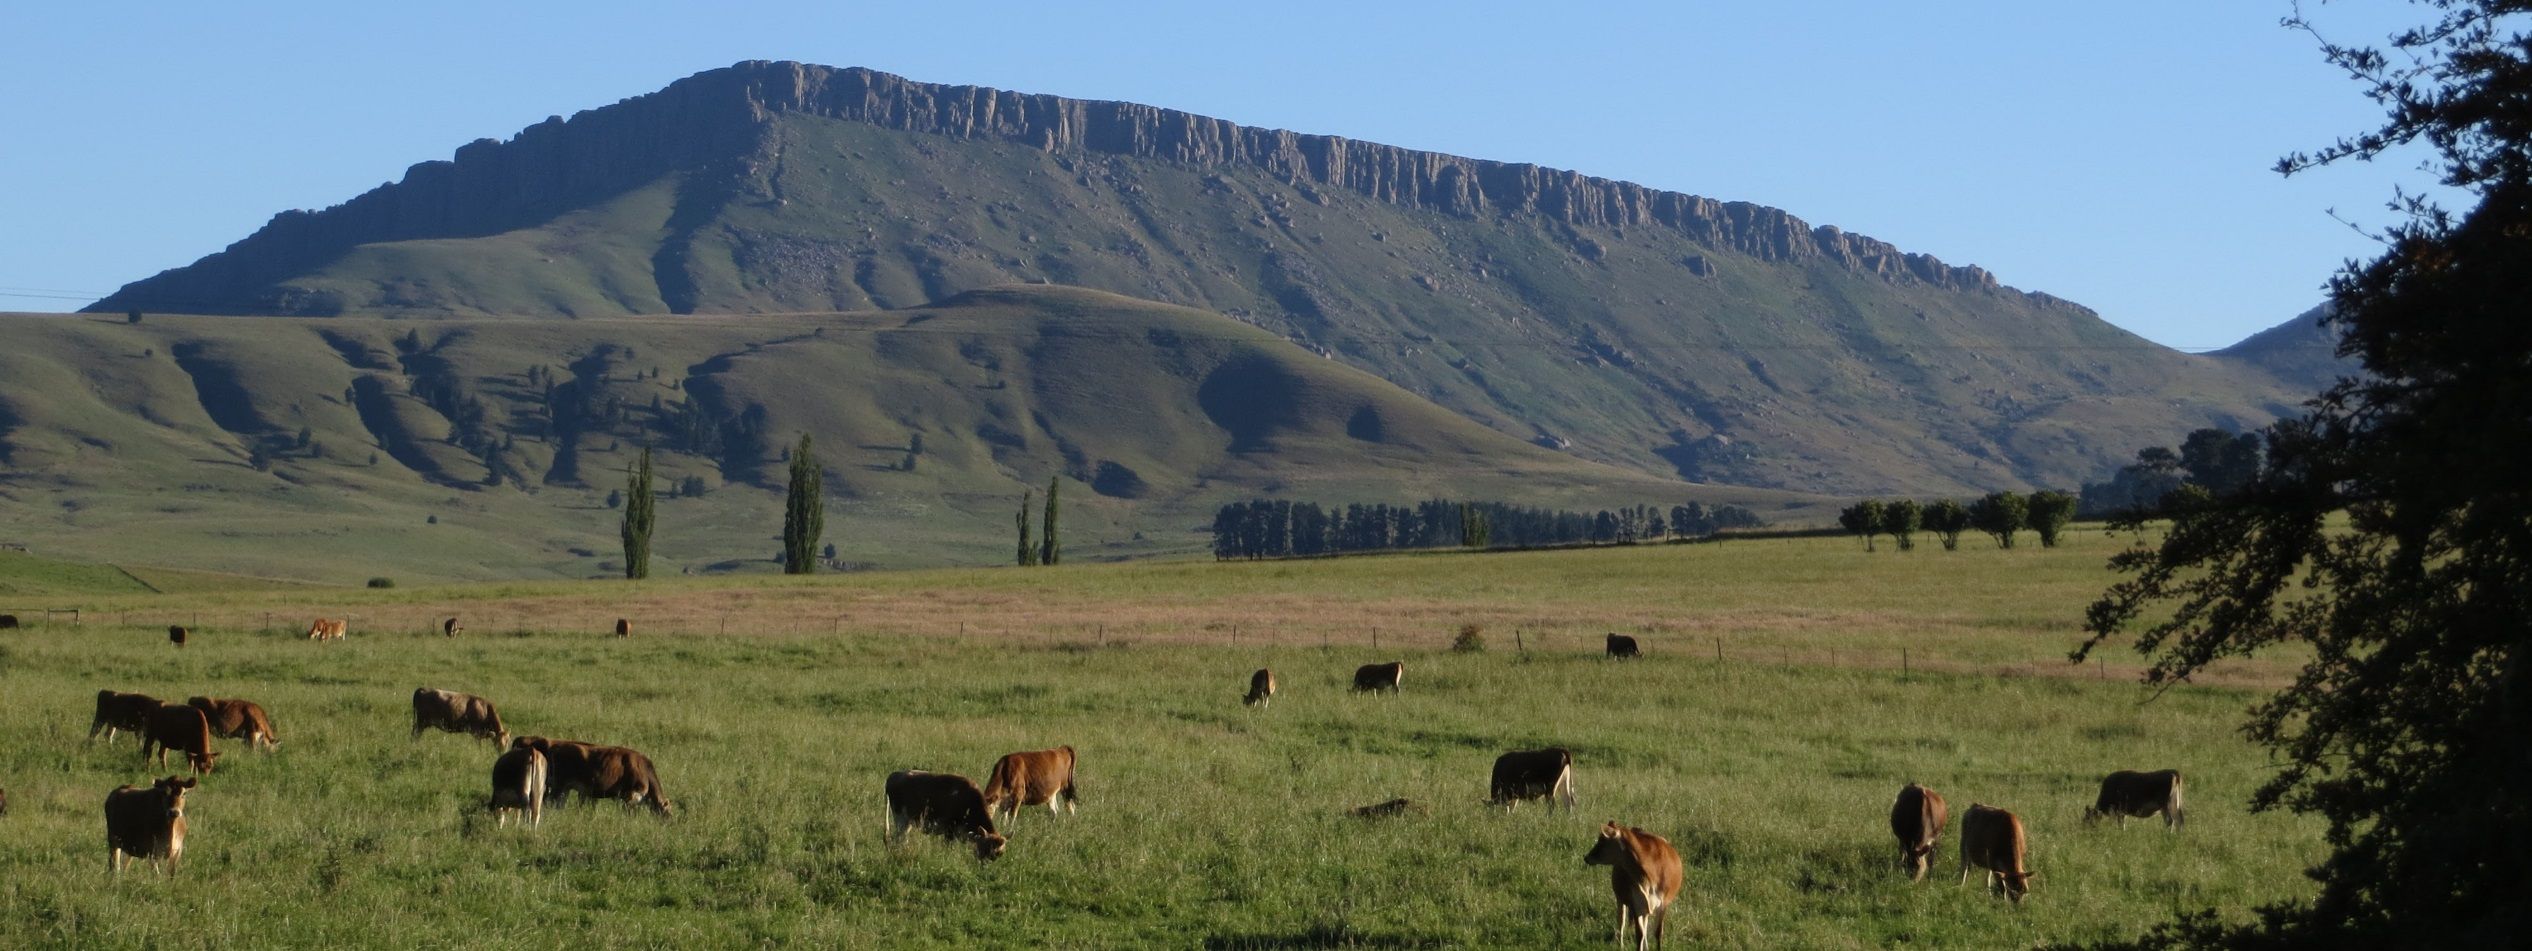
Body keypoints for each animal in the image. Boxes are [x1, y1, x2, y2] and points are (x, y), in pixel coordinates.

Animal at [1579, 819, 1681, 951]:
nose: (1586, 857)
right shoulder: (1635, 902)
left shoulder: (1663, 904)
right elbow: (1639, 934)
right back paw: (1620, 944)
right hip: (1621, 898)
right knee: (1621, 920)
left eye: (1602, 841)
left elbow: (1658, 933)